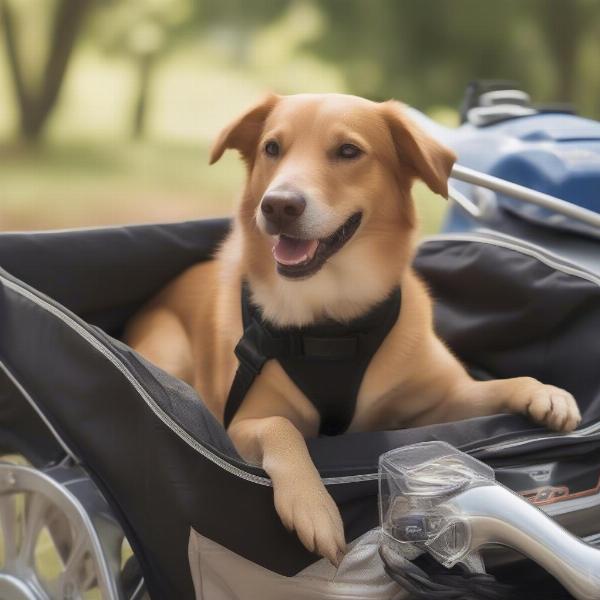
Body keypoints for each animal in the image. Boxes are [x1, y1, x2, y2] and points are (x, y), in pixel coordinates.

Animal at [126, 94, 580, 568]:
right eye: (272, 148)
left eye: (348, 151)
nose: (279, 205)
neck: (334, 323)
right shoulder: (235, 426)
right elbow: (280, 427)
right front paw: (313, 506)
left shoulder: (438, 403)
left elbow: (494, 387)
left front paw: (543, 393)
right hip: (170, 349)